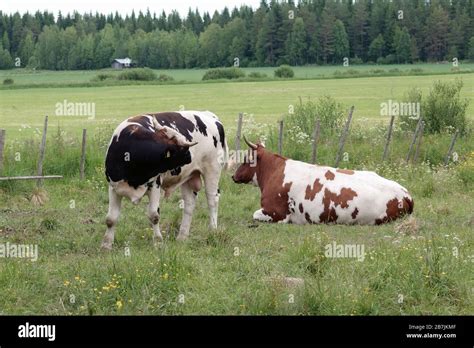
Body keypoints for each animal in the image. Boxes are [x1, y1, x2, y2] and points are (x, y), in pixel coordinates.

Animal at [102, 110, 228, 249]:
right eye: (183, 149)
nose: (191, 156)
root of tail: (210, 115)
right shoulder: (113, 187)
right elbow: (111, 218)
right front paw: (106, 245)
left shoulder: (155, 185)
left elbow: (154, 215)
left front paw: (158, 242)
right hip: (188, 176)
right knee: (189, 204)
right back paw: (182, 236)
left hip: (212, 170)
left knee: (212, 200)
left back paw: (213, 230)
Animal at [231, 137, 412, 227]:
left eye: (246, 159)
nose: (233, 176)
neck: (274, 172)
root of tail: (405, 193)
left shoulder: (276, 212)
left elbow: (255, 214)